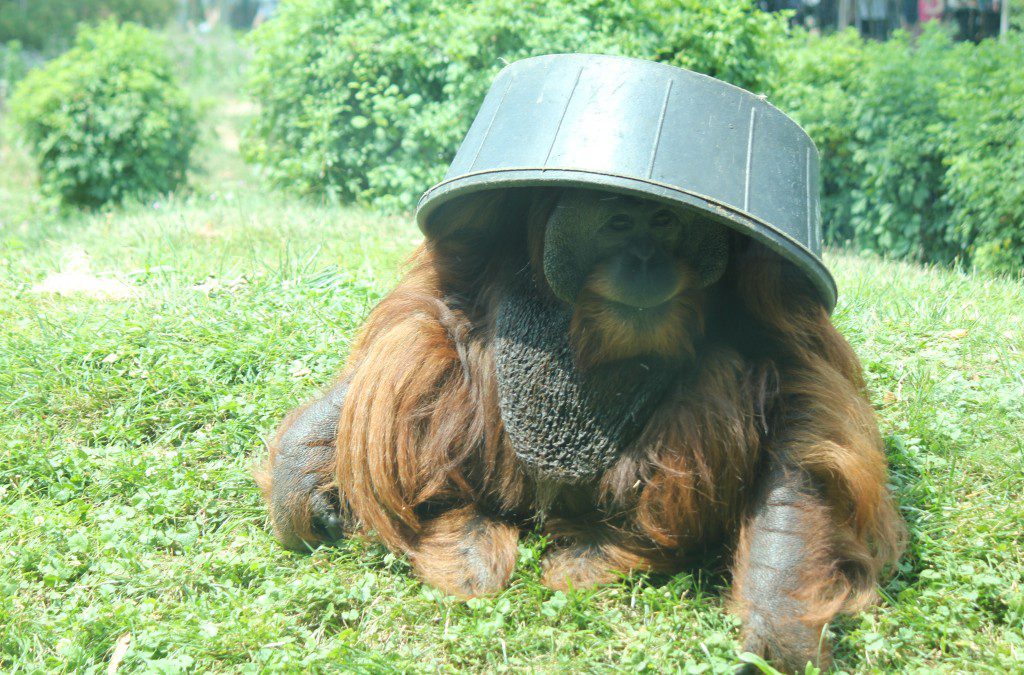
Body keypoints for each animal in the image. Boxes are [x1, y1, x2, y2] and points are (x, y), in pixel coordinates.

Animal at [255, 187, 904, 671]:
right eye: (616, 224)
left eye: (664, 221)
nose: (645, 260)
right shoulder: (474, 238)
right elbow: (436, 302)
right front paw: (299, 469)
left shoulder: (773, 282)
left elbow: (800, 395)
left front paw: (774, 611)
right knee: (422, 340)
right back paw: (460, 535)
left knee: (726, 371)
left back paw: (604, 554)